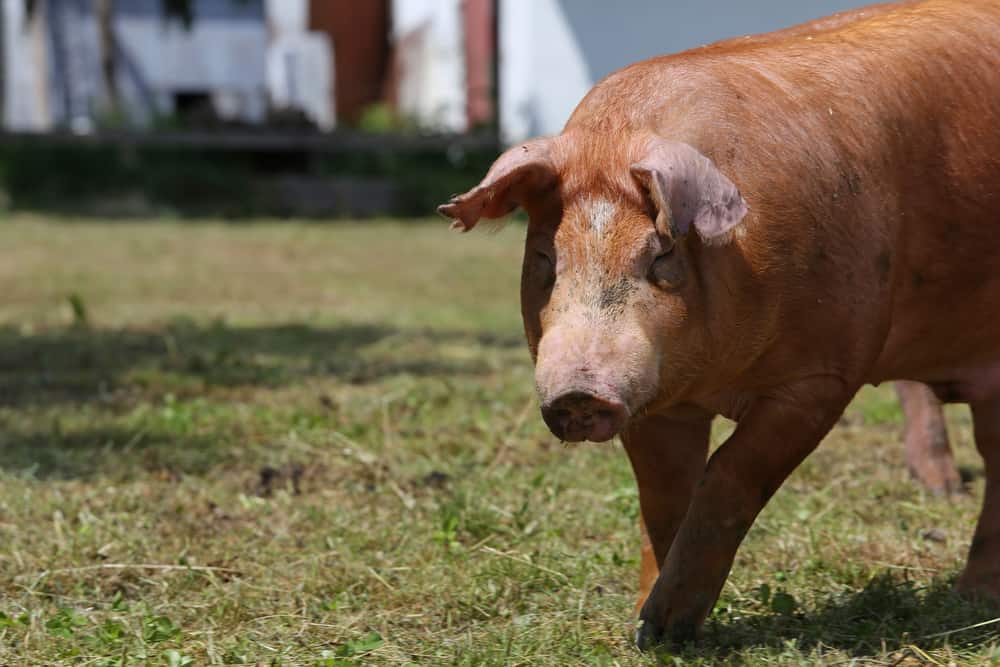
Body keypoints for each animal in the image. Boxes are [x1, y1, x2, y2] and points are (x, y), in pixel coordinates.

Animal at [439, 0, 1000, 649]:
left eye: (660, 256)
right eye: (545, 261)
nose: (580, 391)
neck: (717, 379)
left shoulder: (823, 374)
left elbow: (730, 474)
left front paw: (666, 625)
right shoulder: (654, 401)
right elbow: (662, 499)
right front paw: (647, 630)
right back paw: (972, 592)